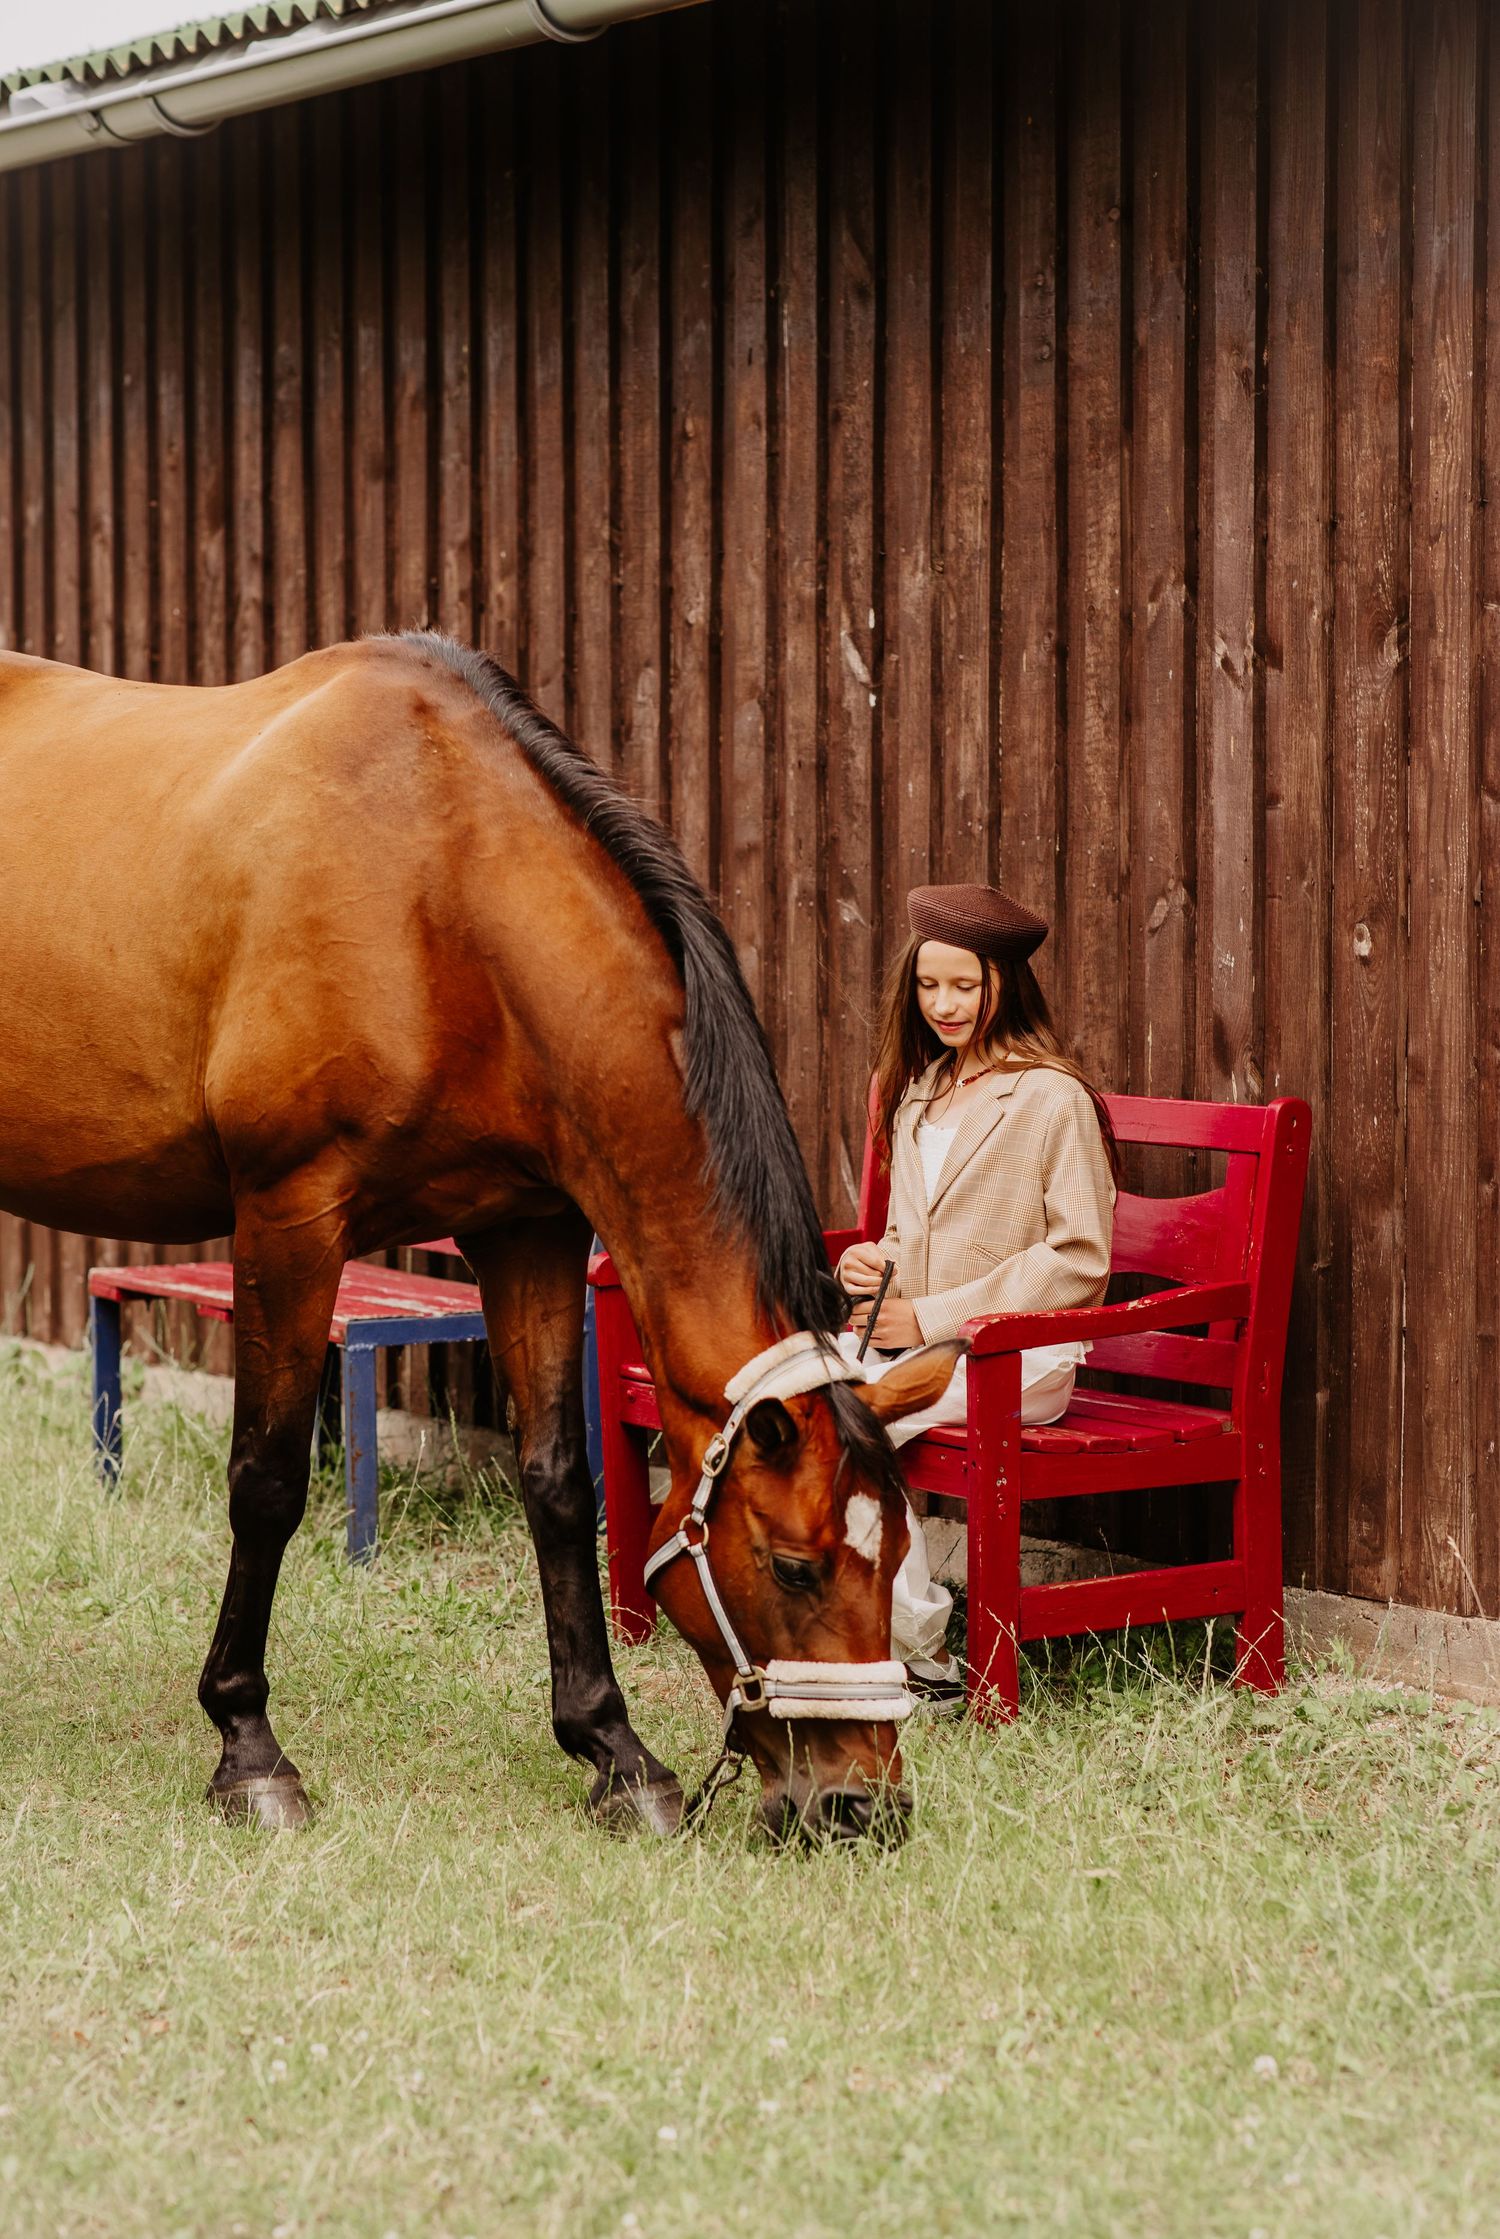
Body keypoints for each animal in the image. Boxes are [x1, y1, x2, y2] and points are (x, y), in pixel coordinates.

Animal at [0, 632, 961, 1844]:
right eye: (795, 1567)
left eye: (900, 1557)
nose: (859, 1805)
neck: (440, 896)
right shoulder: (288, 1216)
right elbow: (267, 1482)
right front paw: (249, 1747)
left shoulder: (527, 1231)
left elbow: (558, 1483)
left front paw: (614, 1752)